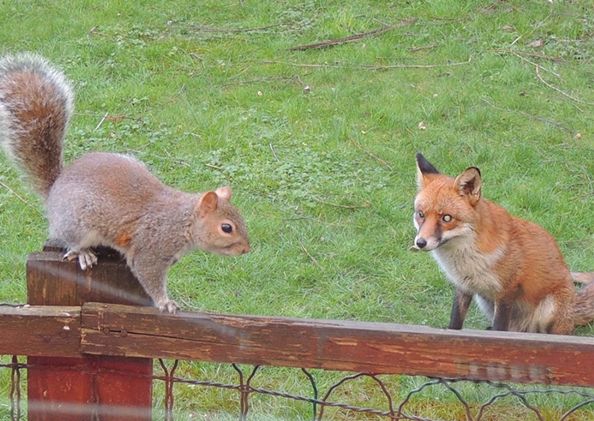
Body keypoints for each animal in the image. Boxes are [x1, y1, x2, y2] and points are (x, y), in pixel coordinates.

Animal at [0, 53, 249, 312]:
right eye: (227, 228)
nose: (246, 249)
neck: (183, 220)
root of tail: (54, 189)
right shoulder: (151, 249)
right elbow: (148, 274)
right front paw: (165, 302)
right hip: (76, 223)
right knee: (71, 241)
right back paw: (84, 253)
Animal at [412, 153, 592, 334]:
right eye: (421, 214)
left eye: (446, 218)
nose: (420, 242)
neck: (467, 258)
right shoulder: (463, 288)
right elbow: (455, 323)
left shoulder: (506, 293)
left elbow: (499, 329)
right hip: (483, 301)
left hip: (549, 309)